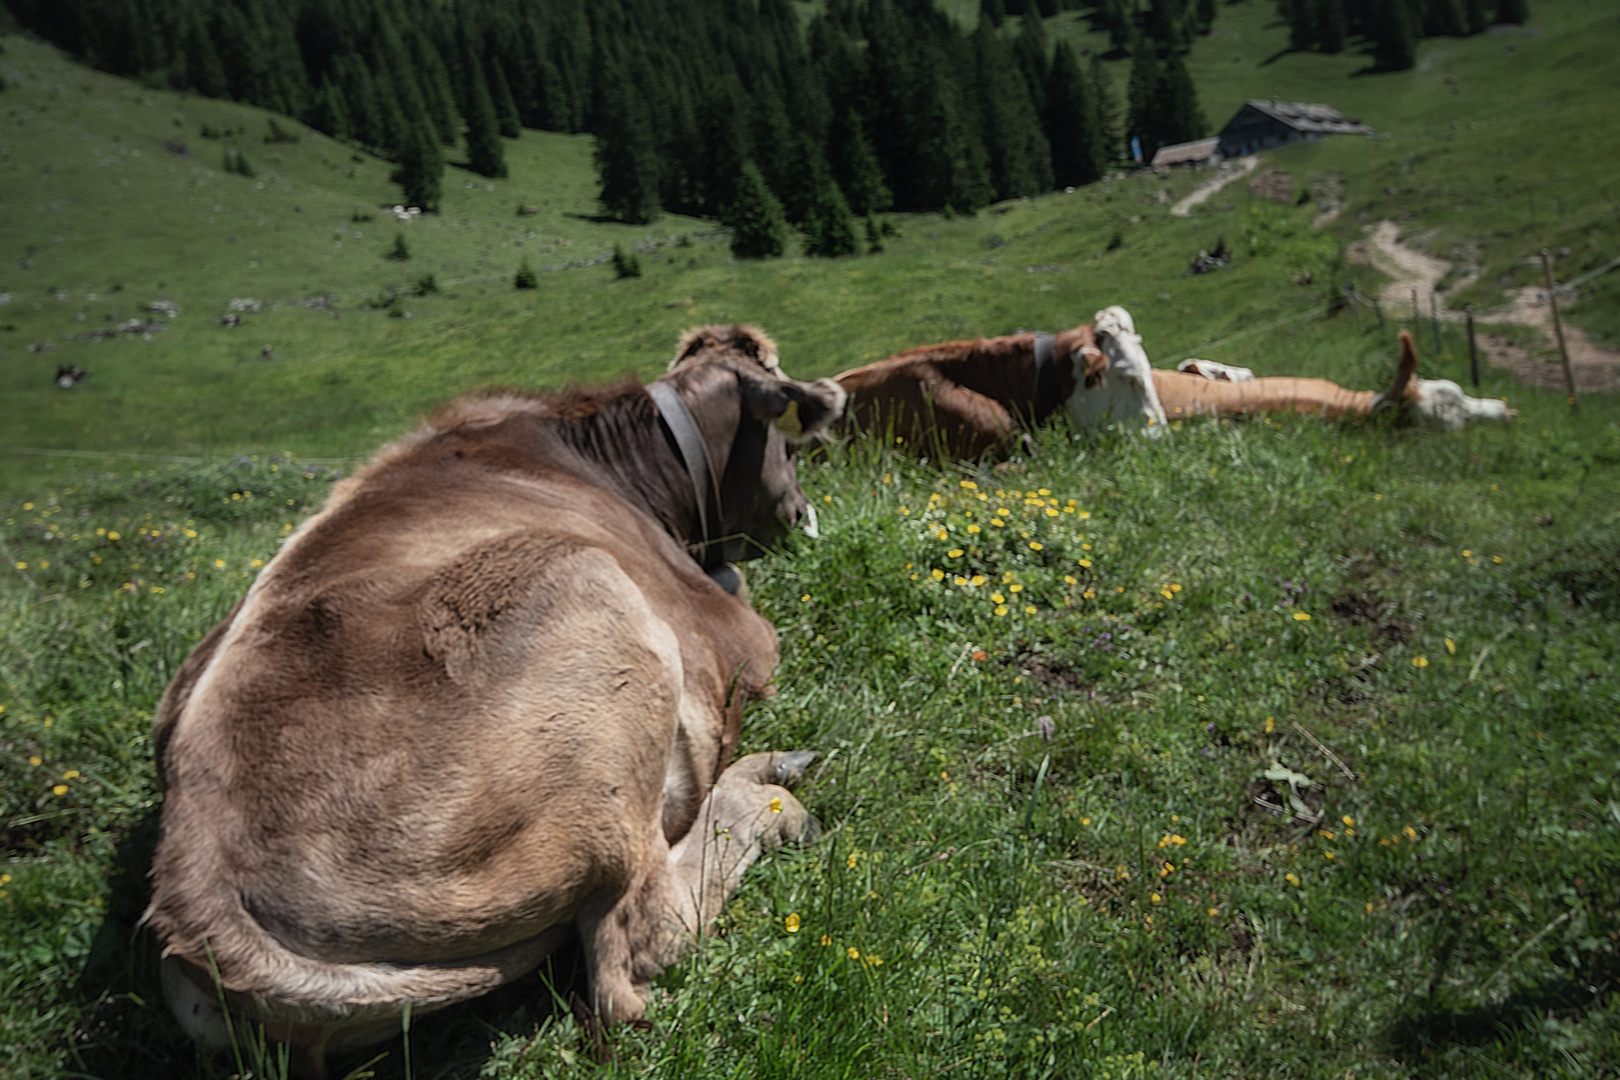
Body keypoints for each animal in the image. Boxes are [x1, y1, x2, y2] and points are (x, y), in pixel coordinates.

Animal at [144, 325, 848, 1075]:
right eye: (788, 442)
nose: (803, 514)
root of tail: (199, 893)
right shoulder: (742, 634)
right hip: (592, 609)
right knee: (635, 952)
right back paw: (771, 796)